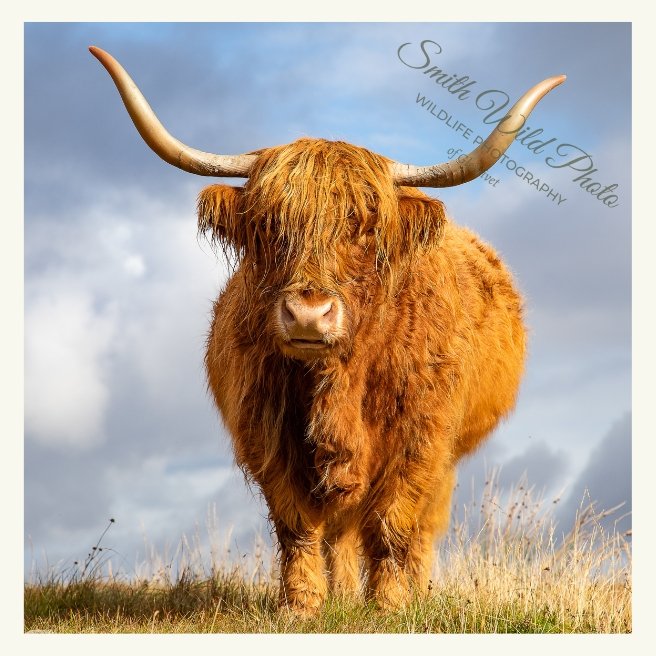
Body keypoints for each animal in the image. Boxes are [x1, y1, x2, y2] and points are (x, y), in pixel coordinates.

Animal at [90, 46, 565, 614]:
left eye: (365, 227)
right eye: (269, 226)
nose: (309, 315)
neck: (337, 385)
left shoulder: (421, 440)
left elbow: (393, 525)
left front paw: (390, 606)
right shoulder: (267, 433)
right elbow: (298, 525)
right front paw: (302, 604)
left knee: (418, 529)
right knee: (340, 530)